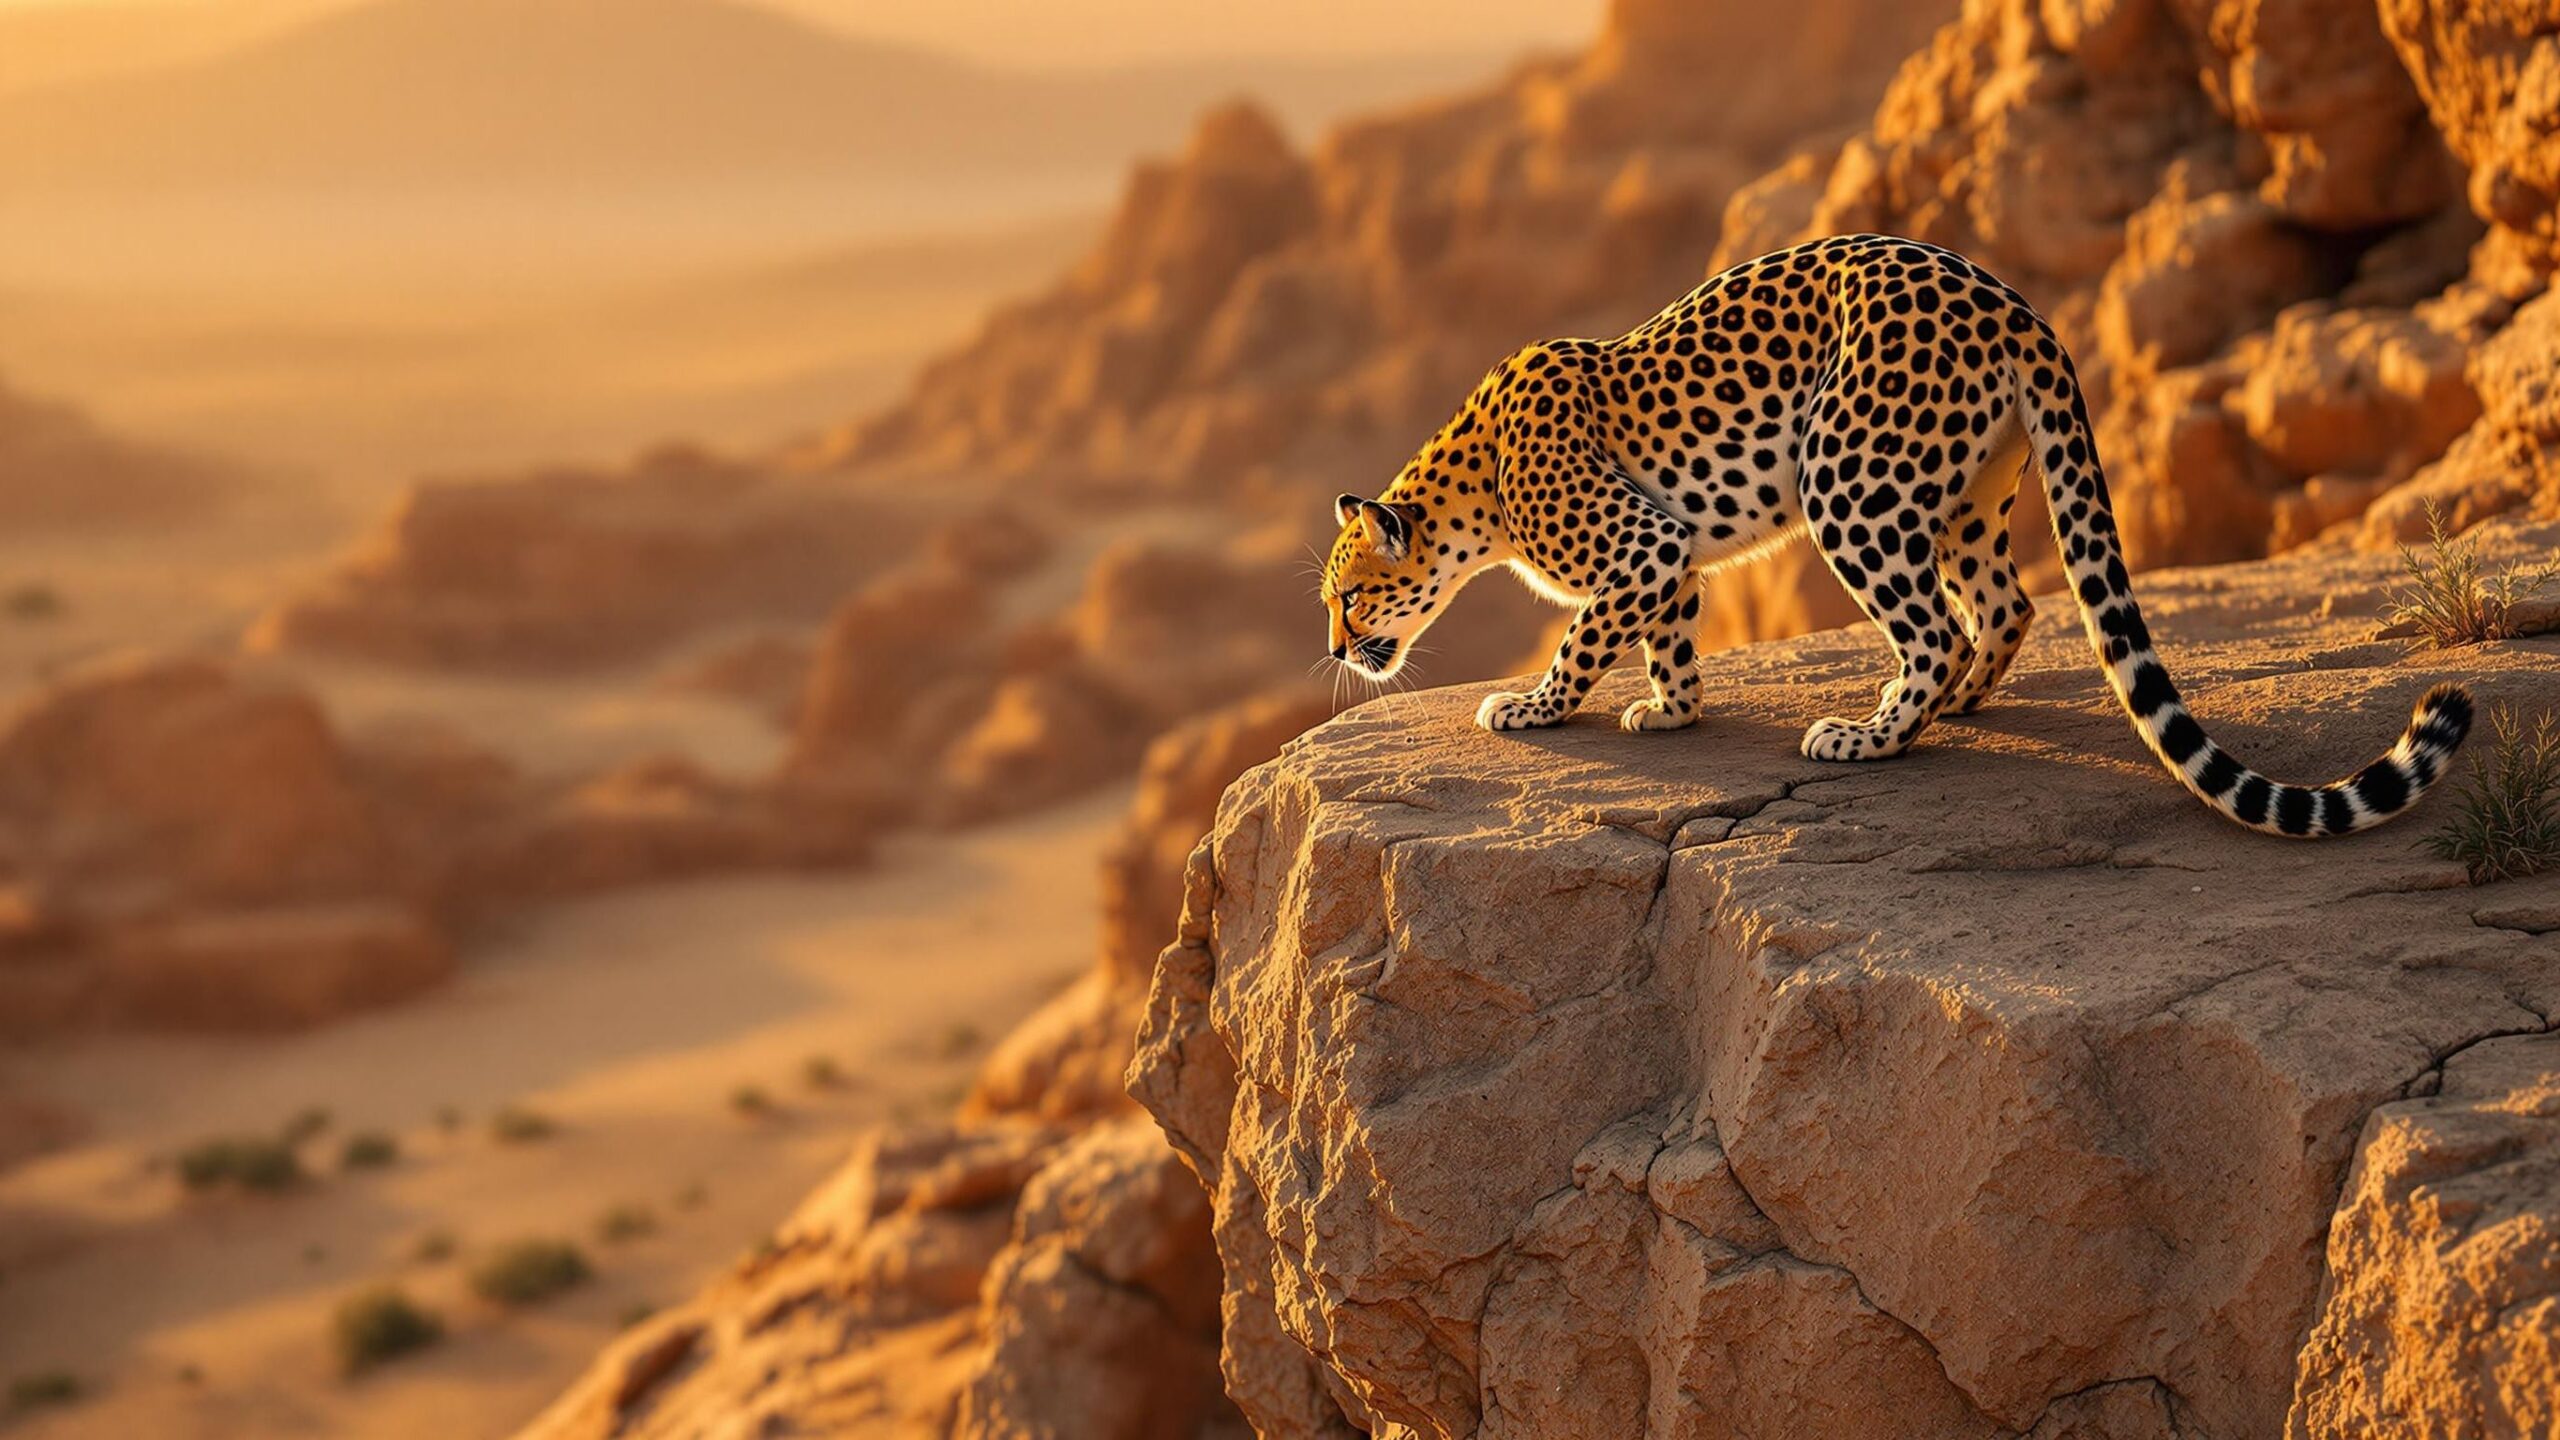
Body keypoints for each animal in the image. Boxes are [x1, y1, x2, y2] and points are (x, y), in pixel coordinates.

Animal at [1319, 234, 2472, 838]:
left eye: (1348, 595)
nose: (1335, 648)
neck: (1472, 496)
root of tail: (2017, 307)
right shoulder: (1671, 552)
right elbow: (1669, 637)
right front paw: (1671, 711)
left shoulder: (1640, 545)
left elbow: (1582, 638)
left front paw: (1531, 708)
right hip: (1962, 494)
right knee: (2005, 605)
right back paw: (1951, 708)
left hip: (1848, 475)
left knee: (1936, 627)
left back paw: (1870, 735)